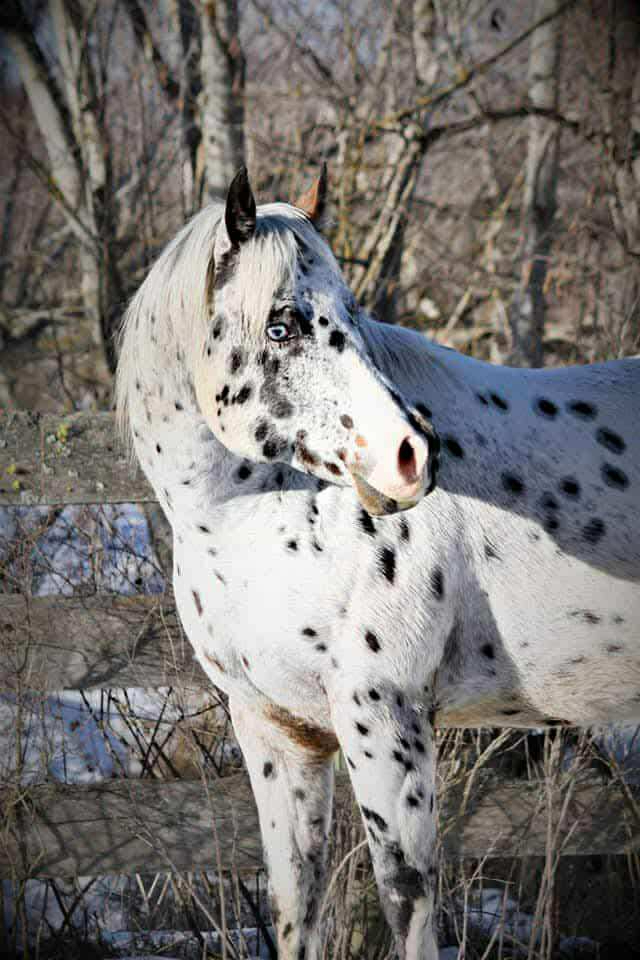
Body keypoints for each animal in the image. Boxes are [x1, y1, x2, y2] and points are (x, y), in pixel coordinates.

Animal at [116, 166, 640, 960]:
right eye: (281, 325)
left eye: (352, 315)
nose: (410, 455)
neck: (258, 517)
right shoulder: (278, 732)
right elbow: (297, 898)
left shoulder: (383, 716)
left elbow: (408, 898)